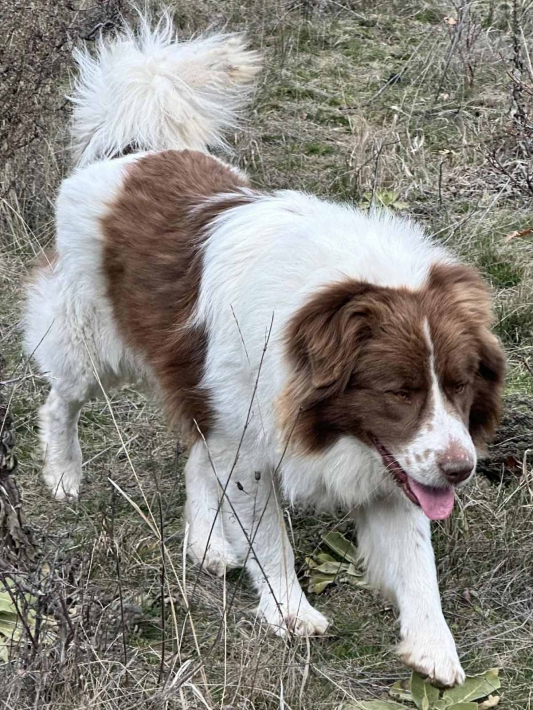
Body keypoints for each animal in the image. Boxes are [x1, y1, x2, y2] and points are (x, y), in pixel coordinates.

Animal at [24, 12, 505, 687]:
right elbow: (268, 536)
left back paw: (205, 545)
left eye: (461, 385)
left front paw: (434, 647)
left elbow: (417, 558)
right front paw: (288, 612)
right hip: (96, 342)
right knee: (60, 400)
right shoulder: (253, 443)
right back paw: (64, 474)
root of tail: (132, 150)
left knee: (195, 455)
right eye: (398, 390)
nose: (463, 470)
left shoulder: (392, 461)